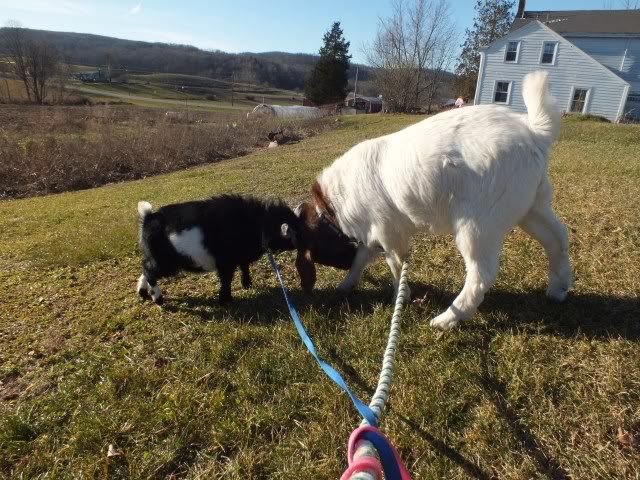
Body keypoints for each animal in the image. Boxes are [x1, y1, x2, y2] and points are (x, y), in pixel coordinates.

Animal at [136, 195, 300, 305]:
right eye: (296, 232)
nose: (301, 245)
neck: (259, 224)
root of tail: (148, 218)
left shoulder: (240, 257)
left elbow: (244, 267)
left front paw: (246, 285)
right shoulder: (226, 263)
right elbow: (226, 279)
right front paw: (224, 300)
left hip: (156, 257)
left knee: (145, 266)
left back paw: (143, 292)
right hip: (167, 262)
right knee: (149, 271)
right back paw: (158, 299)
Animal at [306, 71, 572, 330]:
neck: (333, 205)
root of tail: (534, 133)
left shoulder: (388, 232)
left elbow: (395, 264)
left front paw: (401, 296)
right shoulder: (374, 234)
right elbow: (361, 258)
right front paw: (346, 284)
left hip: (476, 226)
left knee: (482, 275)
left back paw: (448, 319)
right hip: (532, 209)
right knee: (557, 238)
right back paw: (558, 289)